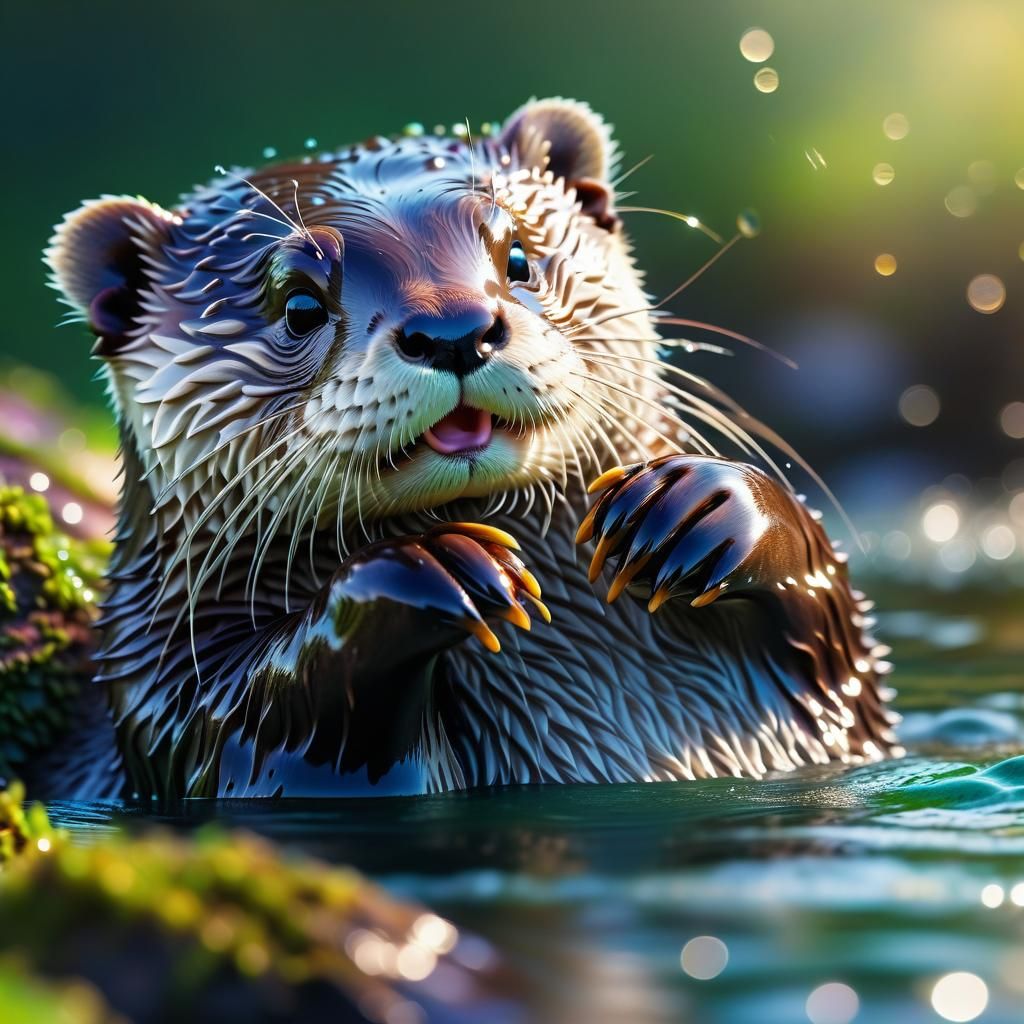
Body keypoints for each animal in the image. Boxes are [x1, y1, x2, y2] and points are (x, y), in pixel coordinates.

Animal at [43, 98, 900, 799]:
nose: (454, 329)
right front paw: (435, 568)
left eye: (518, 255)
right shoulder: (172, 705)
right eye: (299, 304)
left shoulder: (844, 703)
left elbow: (839, 623)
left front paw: (694, 509)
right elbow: (264, 723)